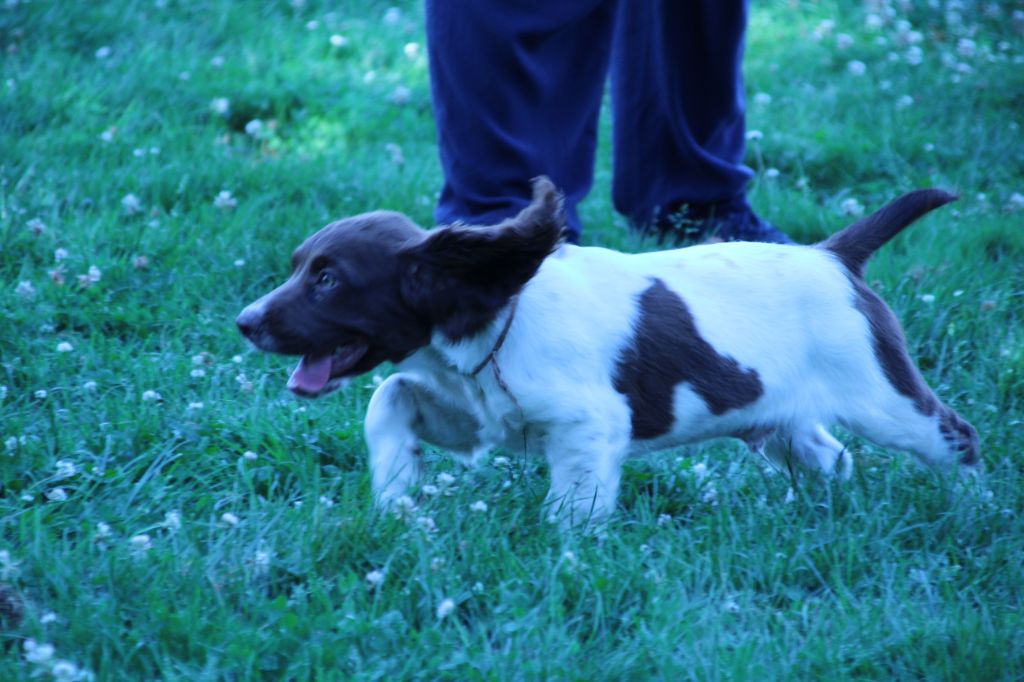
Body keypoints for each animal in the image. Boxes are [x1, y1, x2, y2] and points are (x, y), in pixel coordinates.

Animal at [235, 176, 978, 524]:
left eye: (328, 280)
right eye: (299, 267)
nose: (245, 322)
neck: (495, 316)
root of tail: (834, 255)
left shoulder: (589, 422)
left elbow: (574, 502)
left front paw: (564, 553)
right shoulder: (474, 412)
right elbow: (390, 396)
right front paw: (396, 494)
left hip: (882, 395)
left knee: (954, 436)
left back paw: (978, 507)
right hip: (776, 419)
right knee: (831, 455)